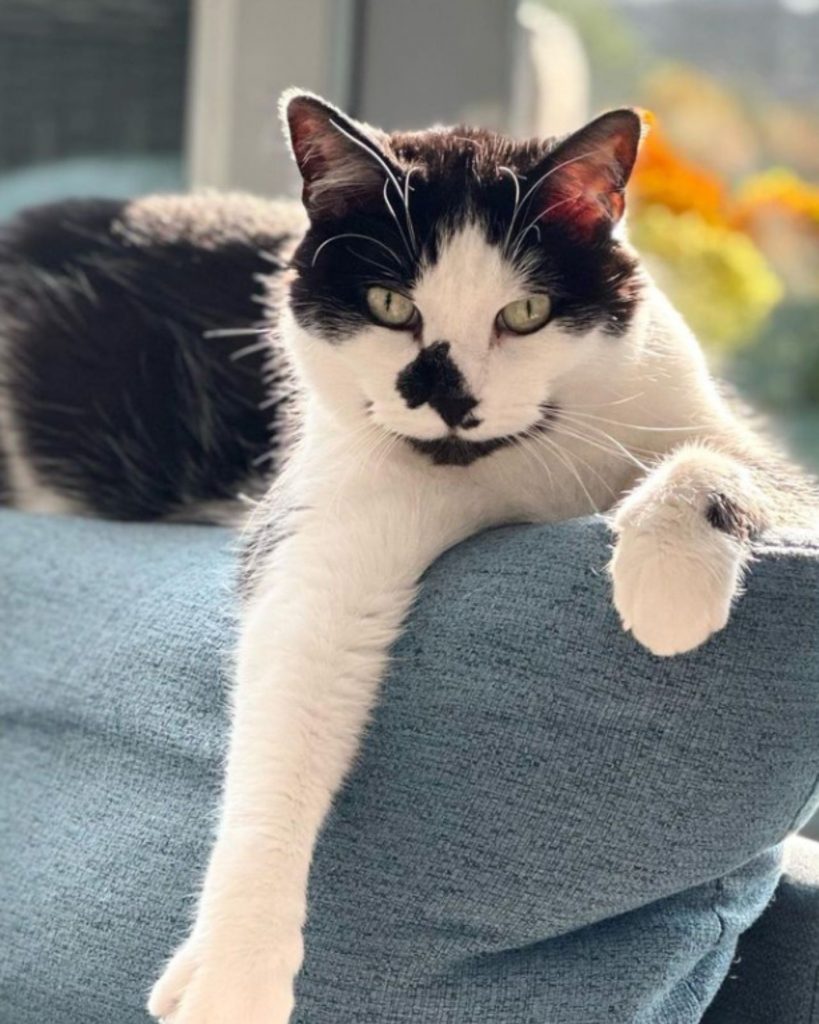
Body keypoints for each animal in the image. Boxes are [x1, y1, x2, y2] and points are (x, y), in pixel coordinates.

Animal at [0, 92, 814, 1019]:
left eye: (524, 313)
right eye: (390, 304)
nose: (444, 395)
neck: (502, 473)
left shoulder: (715, 429)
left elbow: (715, 460)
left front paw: (668, 590)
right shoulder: (319, 535)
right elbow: (280, 739)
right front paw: (235, 973)